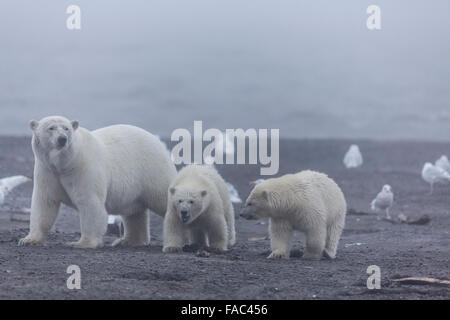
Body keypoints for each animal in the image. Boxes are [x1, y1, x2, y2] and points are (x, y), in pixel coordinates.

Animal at [18, 116, 176, 249]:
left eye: (66, 128)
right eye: (51, 128)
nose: (62, 139)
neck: (64, 164)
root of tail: (157, 141)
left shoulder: (82, 168)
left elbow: (89, 203)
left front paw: (82, 243)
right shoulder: (47, 171)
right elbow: (45, 202)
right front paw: (29, 240)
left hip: (152, 170)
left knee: (164, 198)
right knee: (135, 212)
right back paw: (128, 241)